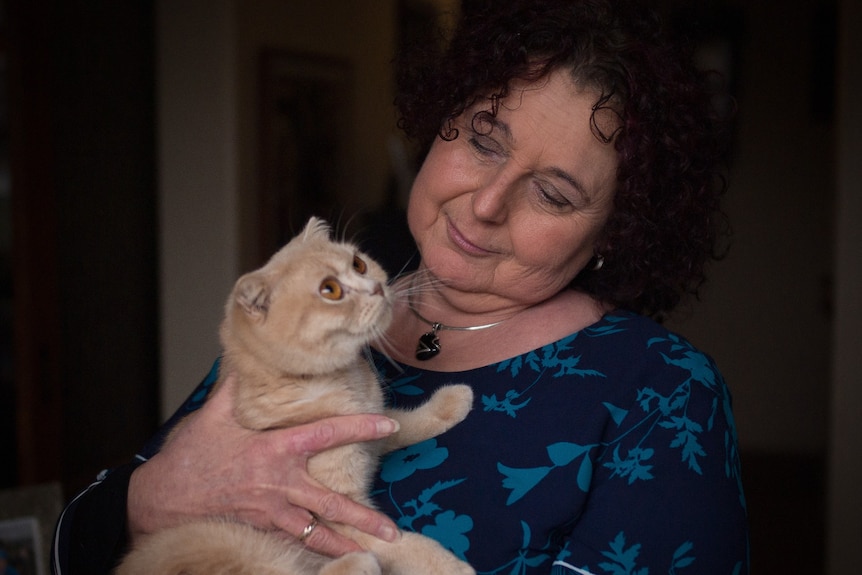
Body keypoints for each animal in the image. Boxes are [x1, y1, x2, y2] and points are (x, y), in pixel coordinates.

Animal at [117, 218, 476, 572]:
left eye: (359, 264)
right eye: (330, 290)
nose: (375, 286)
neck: (340, 381)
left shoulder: (374, 427)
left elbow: (407, 423)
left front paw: (454, 401)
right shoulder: (336, 512)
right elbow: (399, 543)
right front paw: (450, 566)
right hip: (229, 540)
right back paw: (357, 563)